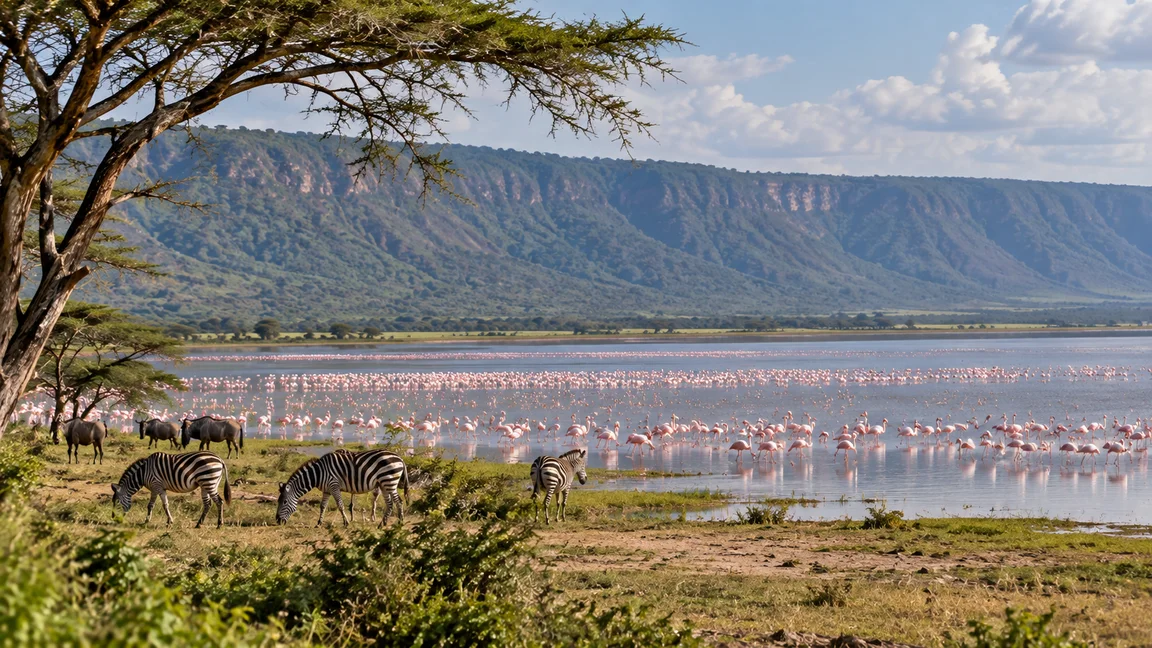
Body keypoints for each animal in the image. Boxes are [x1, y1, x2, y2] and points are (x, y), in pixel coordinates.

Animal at [276, 449, 409, 527]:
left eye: (285, 502)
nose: (277, 521)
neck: (318, 473)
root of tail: (400, 458)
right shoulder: (326, 490)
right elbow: (322, 506)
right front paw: (319, 523)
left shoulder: (333, 485)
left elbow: (340, 505)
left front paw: (346, 522)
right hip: (384, 484)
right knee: (390, 504)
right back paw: (383, 523)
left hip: (389, 481)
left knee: (399, 501)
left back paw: (400, 522)